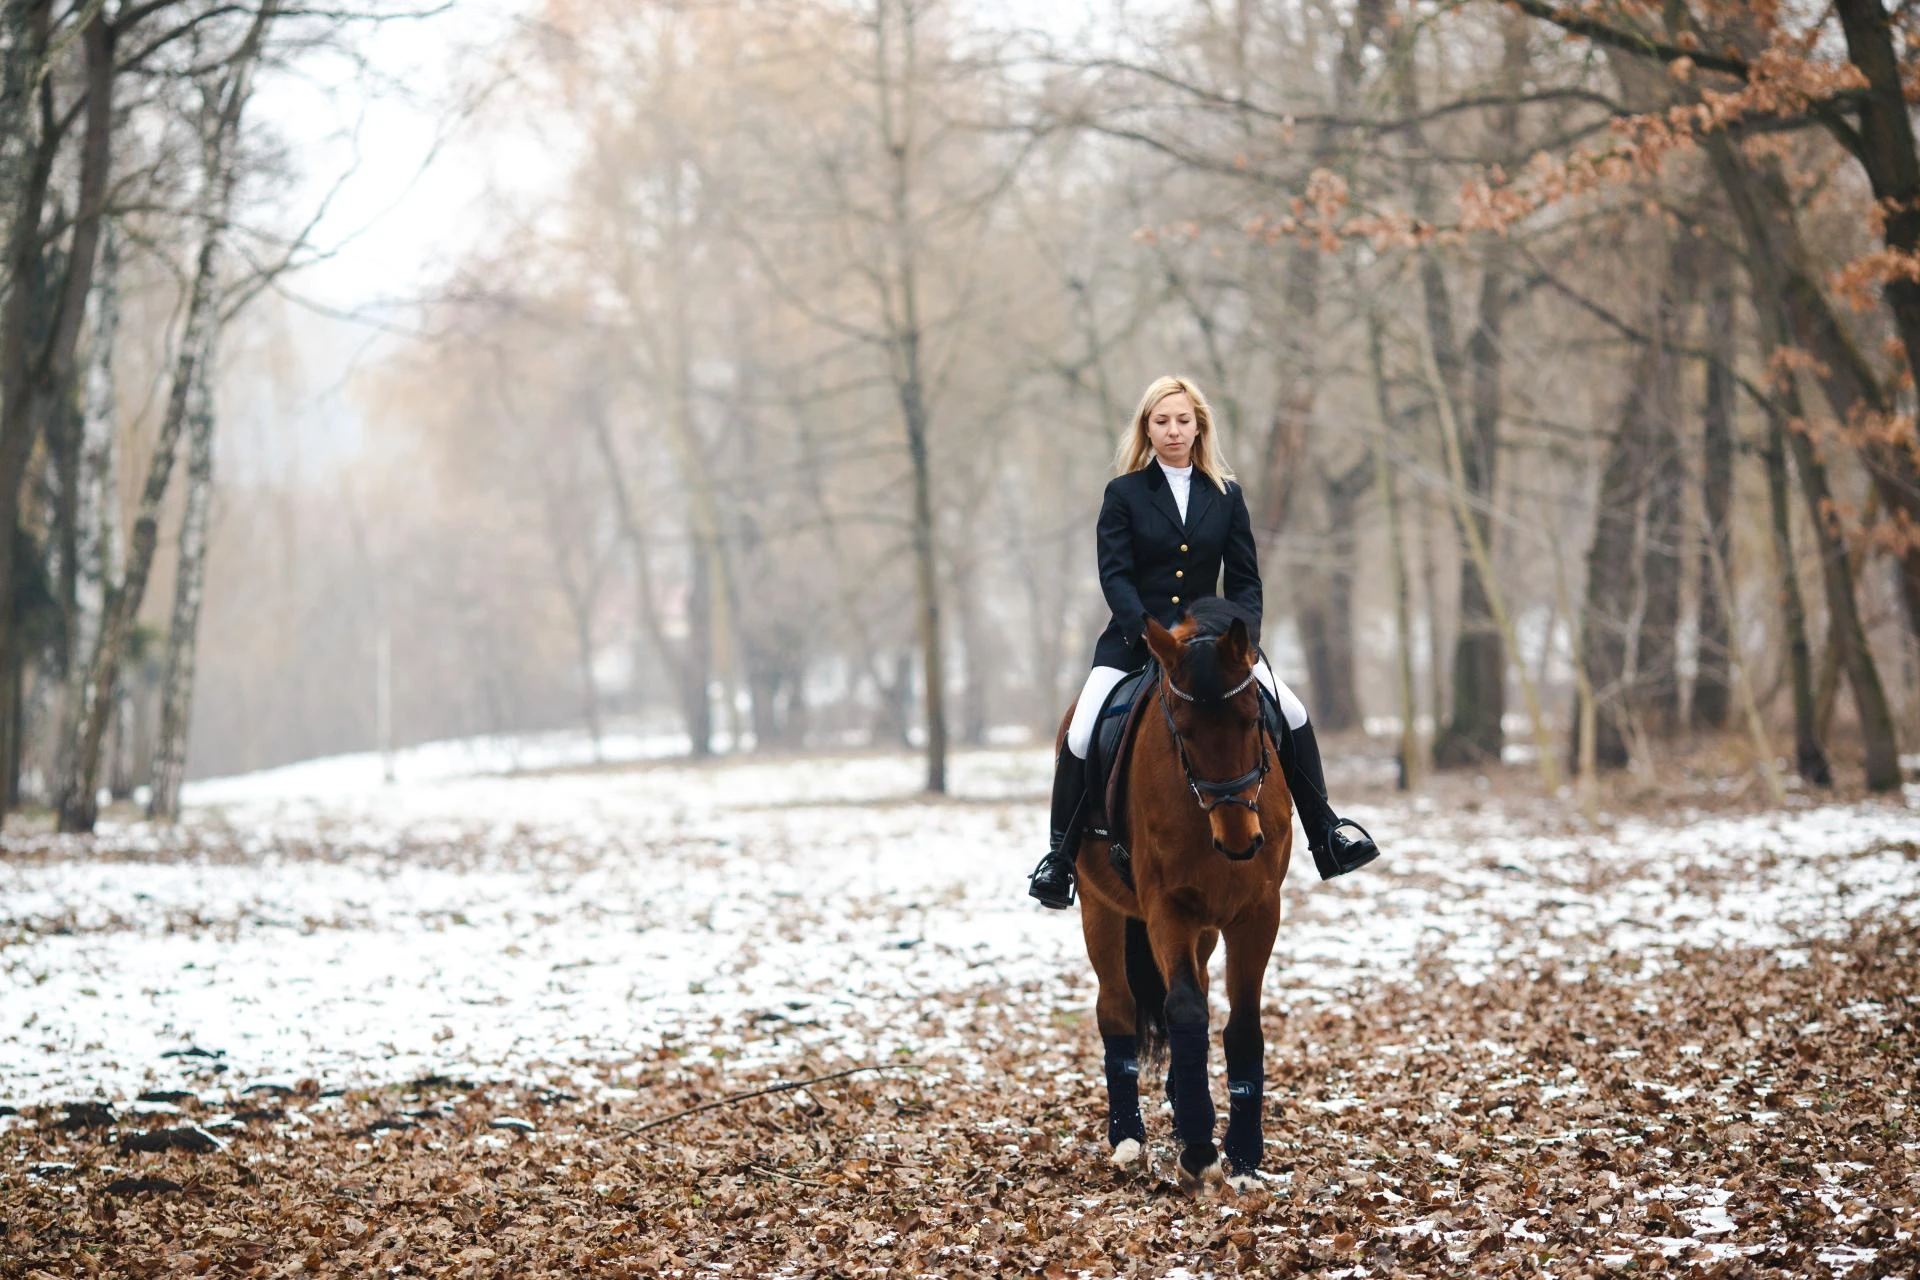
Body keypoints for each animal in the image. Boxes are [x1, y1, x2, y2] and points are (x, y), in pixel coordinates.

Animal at [1066, 605, 1291, 1191]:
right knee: (1117, 1007)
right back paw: (1128, 1137)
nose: (1239, 842)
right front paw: (1199, 1149)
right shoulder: (1167, 908)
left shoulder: (1258, 911)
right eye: (1183, 732)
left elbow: (1242, 1022)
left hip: (1207, 928)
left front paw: (1244, 1154)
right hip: (1102, 910)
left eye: (1252, 718)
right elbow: (1186, 1009)